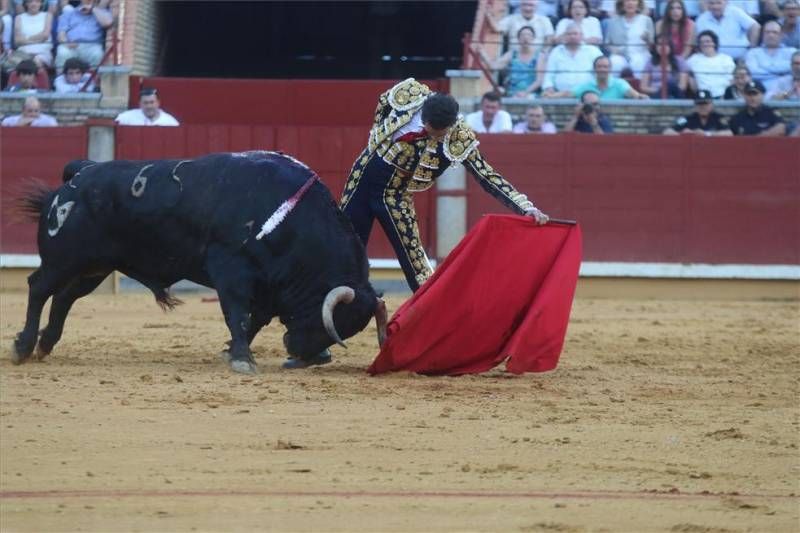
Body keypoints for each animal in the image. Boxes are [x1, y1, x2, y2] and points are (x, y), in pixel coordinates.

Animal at [11, 151, 388, 374]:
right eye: (333, 321)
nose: (298, 351)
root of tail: (79, 173)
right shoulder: (231, 270)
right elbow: (236, 313)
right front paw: (241, 359)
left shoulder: (267, 285)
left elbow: (254, 320)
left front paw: (233, 351)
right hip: (63, 259)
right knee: (39, 288)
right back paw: (24, 347)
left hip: (94, 267)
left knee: (64, 298)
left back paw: (45, 345)